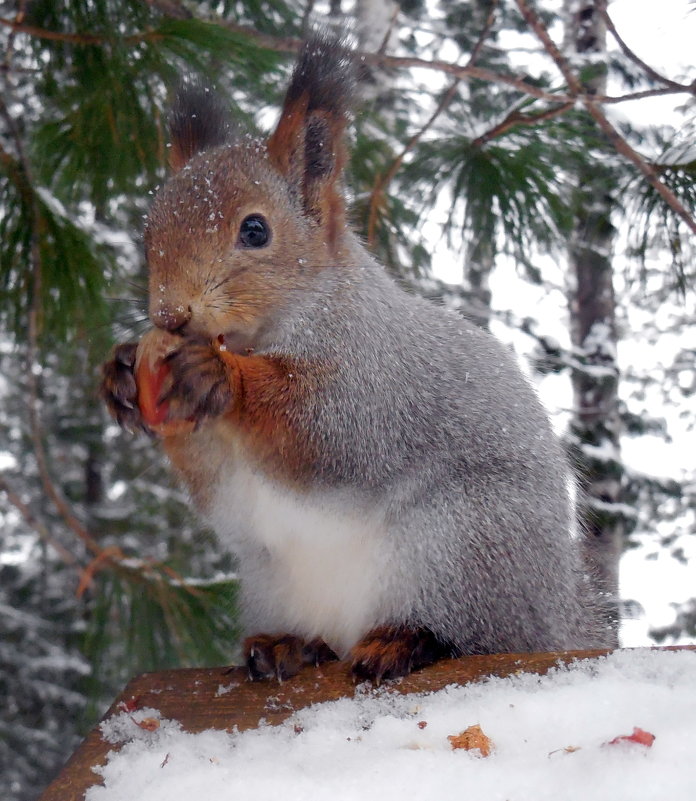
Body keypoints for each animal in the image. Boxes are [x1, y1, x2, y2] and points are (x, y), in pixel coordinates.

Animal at [100, 32, 612, 680]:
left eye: (255, 231)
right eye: (148, 234)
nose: (169, 316)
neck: (270, 332)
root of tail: (552, 618)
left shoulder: (375, 378)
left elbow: (329, 434)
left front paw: (218, 378)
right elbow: (220, 494)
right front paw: (120, 376)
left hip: (465, 544)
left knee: (474, 635)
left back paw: (409, 639)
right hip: (276, 580)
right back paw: (290, 645)